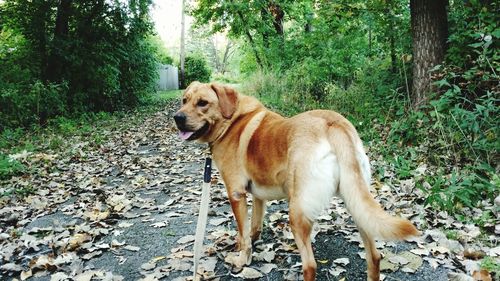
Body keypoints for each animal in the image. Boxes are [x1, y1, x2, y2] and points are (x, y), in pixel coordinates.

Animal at [173, 81, 418, 280]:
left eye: (202, 103)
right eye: (184, 100)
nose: (178, 117)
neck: (232, 120)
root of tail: (333, 124)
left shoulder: (236, 194)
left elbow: (243, 233)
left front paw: (242, 259)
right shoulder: (258, 197)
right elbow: (254, 227)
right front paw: (251, 243)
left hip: (297, 213)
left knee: (310, 266)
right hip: (356, 203)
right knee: (374, 256)